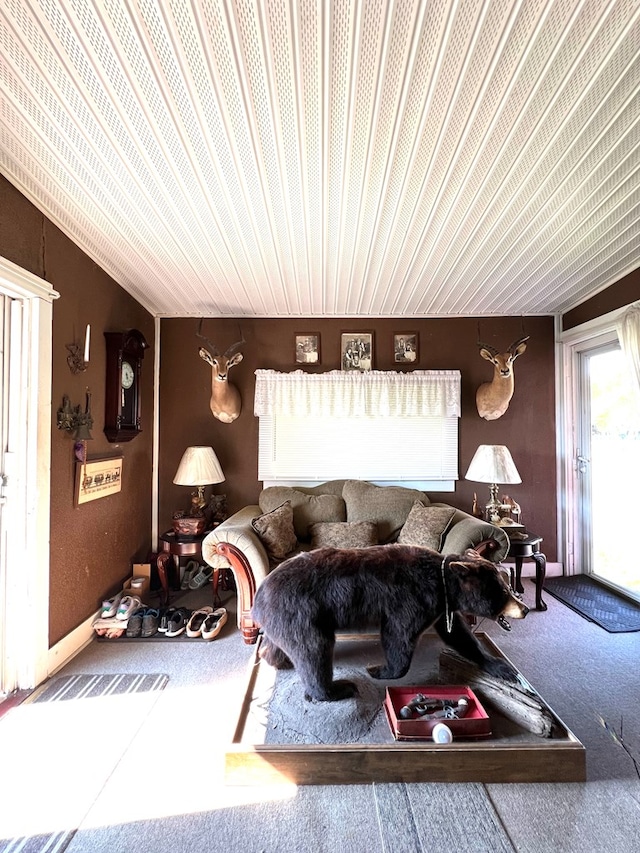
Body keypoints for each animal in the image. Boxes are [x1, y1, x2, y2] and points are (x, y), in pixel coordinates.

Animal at [252, 544, 528, 700]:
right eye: (504, 591)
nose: (524, 609)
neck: (443, 587)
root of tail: (258, 597)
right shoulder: (412, 597)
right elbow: (399, 635)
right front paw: (379, 669)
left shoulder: (440, 609)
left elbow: (459, 636)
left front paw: (501, 667)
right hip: (300, 612)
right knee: (314, 649)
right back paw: (336, 690)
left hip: (287, 619)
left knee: (285, 645)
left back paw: (276, 658)